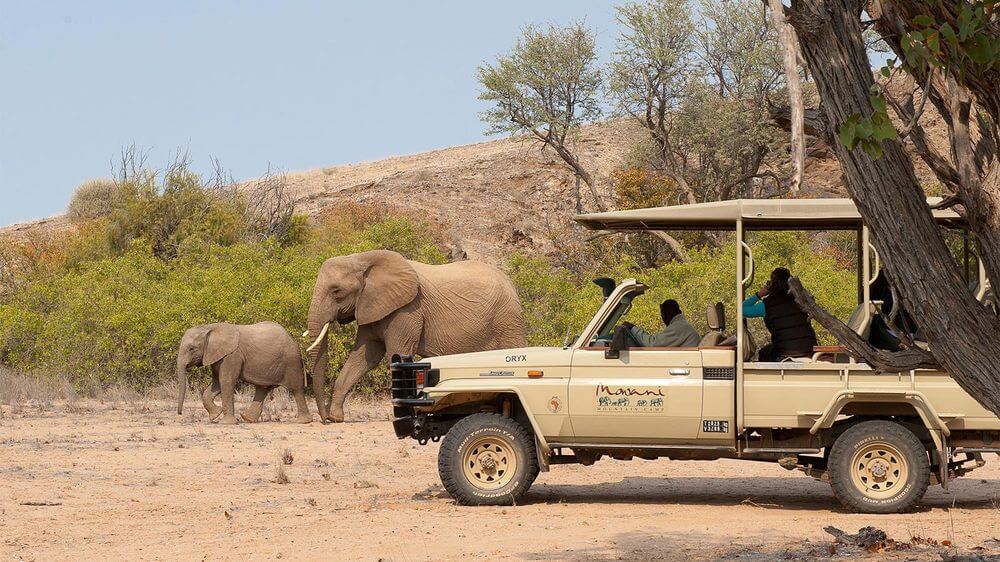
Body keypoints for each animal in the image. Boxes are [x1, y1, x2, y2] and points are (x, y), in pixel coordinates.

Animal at [302, 249, 524, 420]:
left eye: (336, 291)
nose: (323, 419)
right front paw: (336, 418)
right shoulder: (371, 306)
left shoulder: (407, 310)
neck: (362, 259)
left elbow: (395, 354)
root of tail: (512, 284)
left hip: (507, 320)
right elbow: (364, 357)